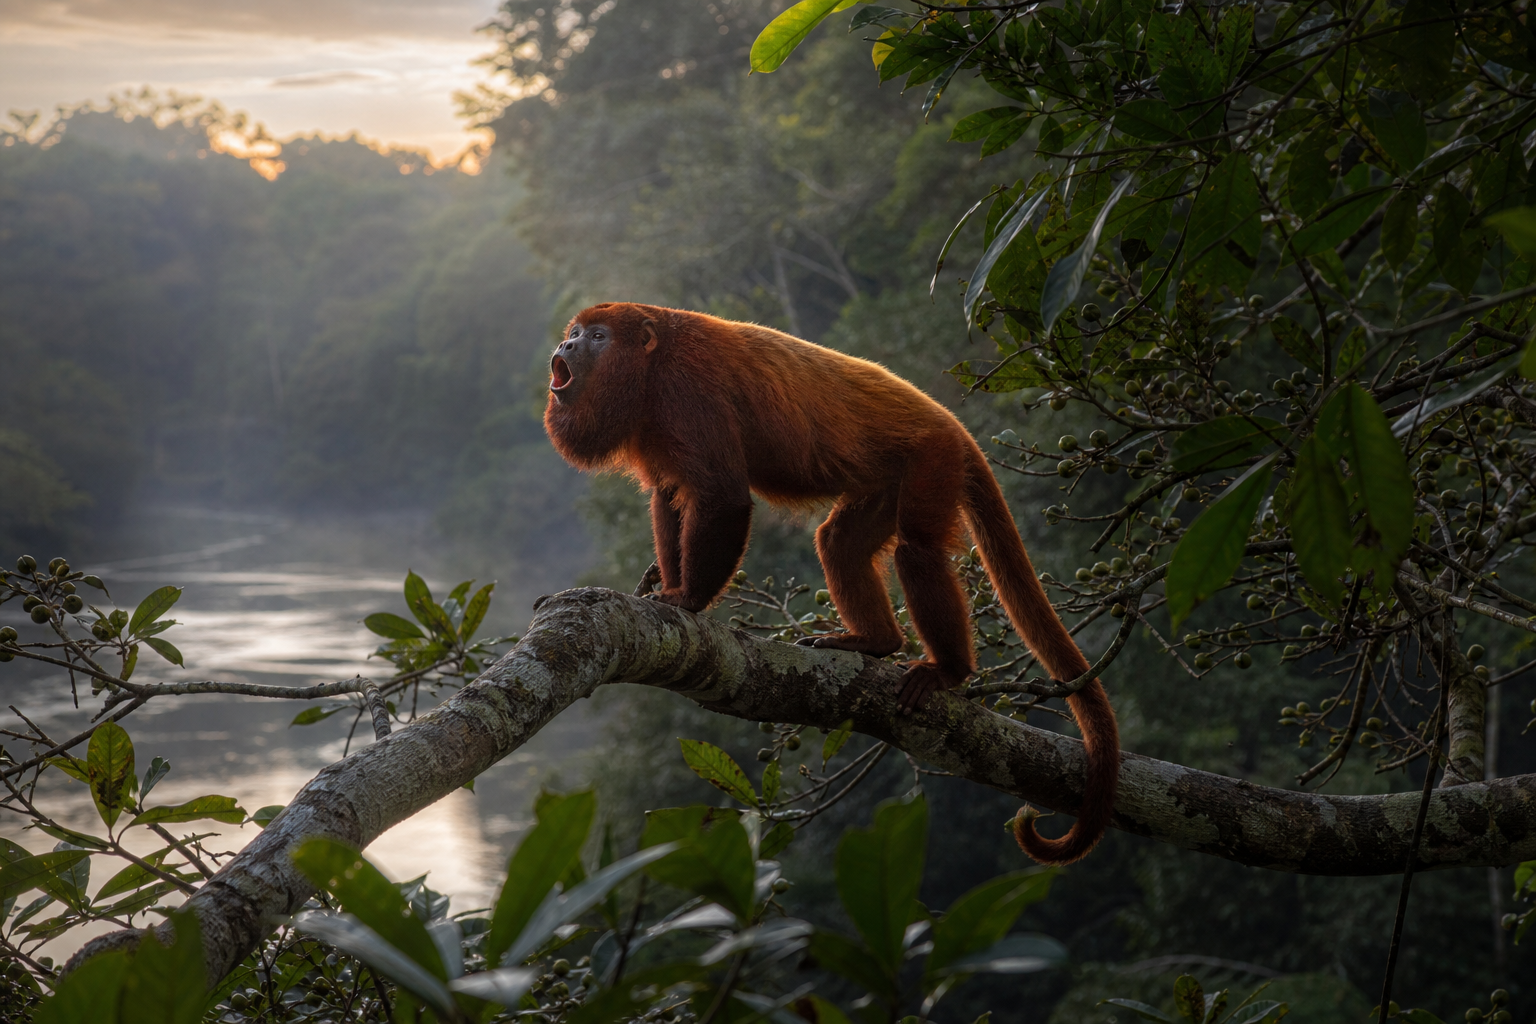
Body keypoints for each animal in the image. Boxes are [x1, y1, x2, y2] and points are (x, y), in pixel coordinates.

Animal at [543, 302, 1120, 864]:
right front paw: (669, 589)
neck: (650, 366)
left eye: (597, 336)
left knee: (917, 552)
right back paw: (876, 641)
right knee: (839, 541)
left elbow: (723, 495)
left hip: (932, 457)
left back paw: (949, 670)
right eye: (575, 332)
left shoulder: (688, 388)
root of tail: (951, 422)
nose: (566, 343)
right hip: (891, 477)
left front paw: (689, 598)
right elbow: (669, 496)